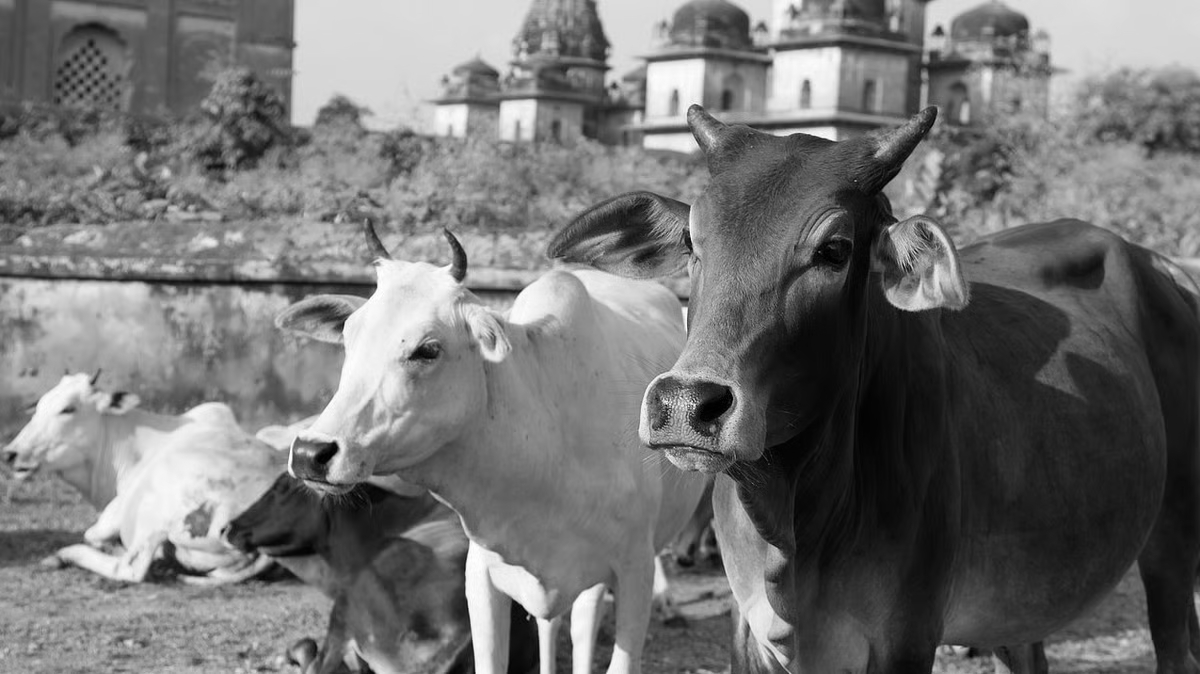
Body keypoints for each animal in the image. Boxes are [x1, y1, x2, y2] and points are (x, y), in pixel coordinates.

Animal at [2, 372, 282, 583]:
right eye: (38, 407)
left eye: (68, 409)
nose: (10, 453)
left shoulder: (119, 507)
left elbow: (93, 535)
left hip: (157, 514)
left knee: (129, 569)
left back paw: (66, 555)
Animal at [546, 105, 1200, 674]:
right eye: (691, 241)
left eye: (834, 249)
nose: (686, 406)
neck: (797, 520)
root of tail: (1164, 269)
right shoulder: (749, 632)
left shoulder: (905, 636)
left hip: (1171, 545)